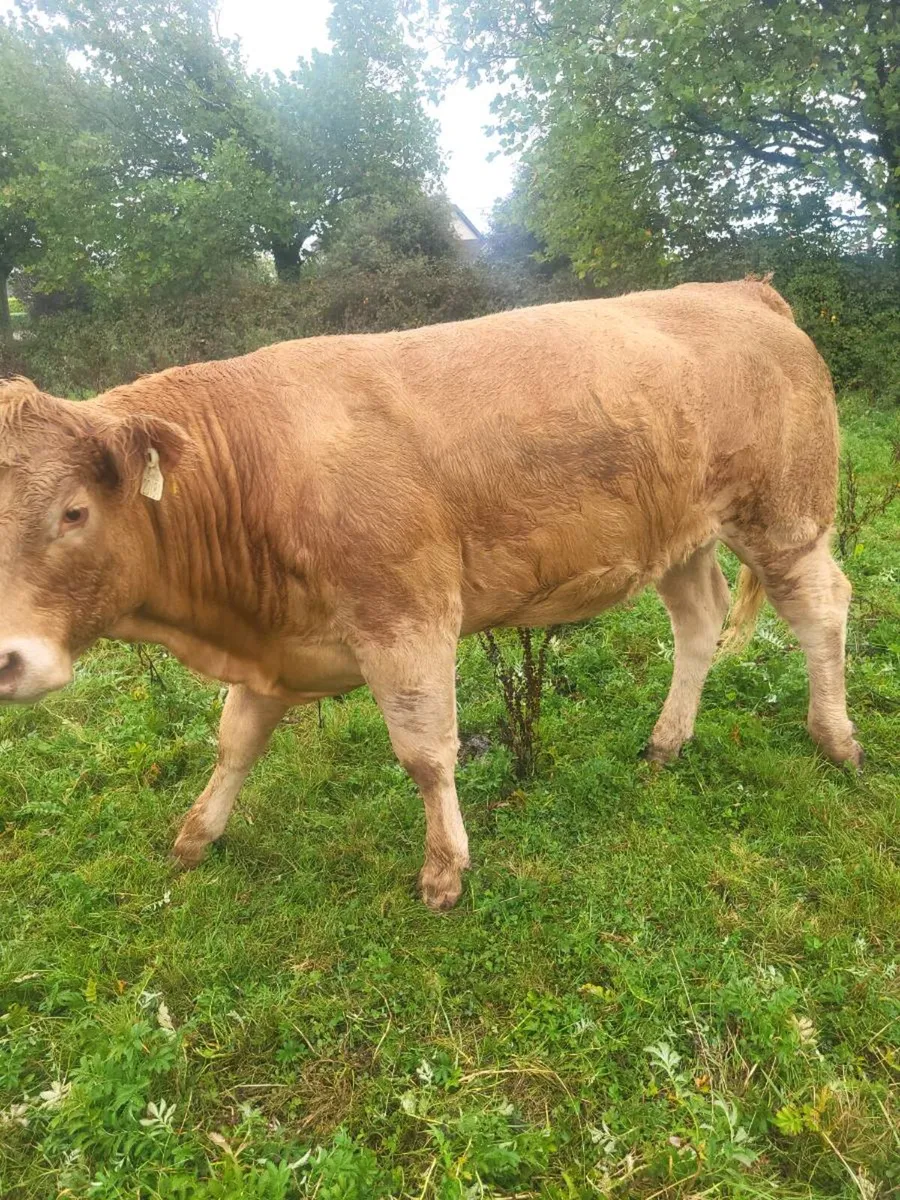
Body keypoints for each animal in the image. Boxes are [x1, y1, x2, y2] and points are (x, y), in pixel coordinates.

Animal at [0, 279, 861, 910]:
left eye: (73, 512)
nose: (7, 660)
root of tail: (740, 290)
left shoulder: (407, 619)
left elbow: (424, 751)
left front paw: (445, 869)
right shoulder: (274, 648)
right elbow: (236, 741)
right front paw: (197, 834)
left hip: (784, 516)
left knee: (823, 610)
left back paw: (836, 738)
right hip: (680, 532)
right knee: (699, 620)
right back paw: (666, 742)